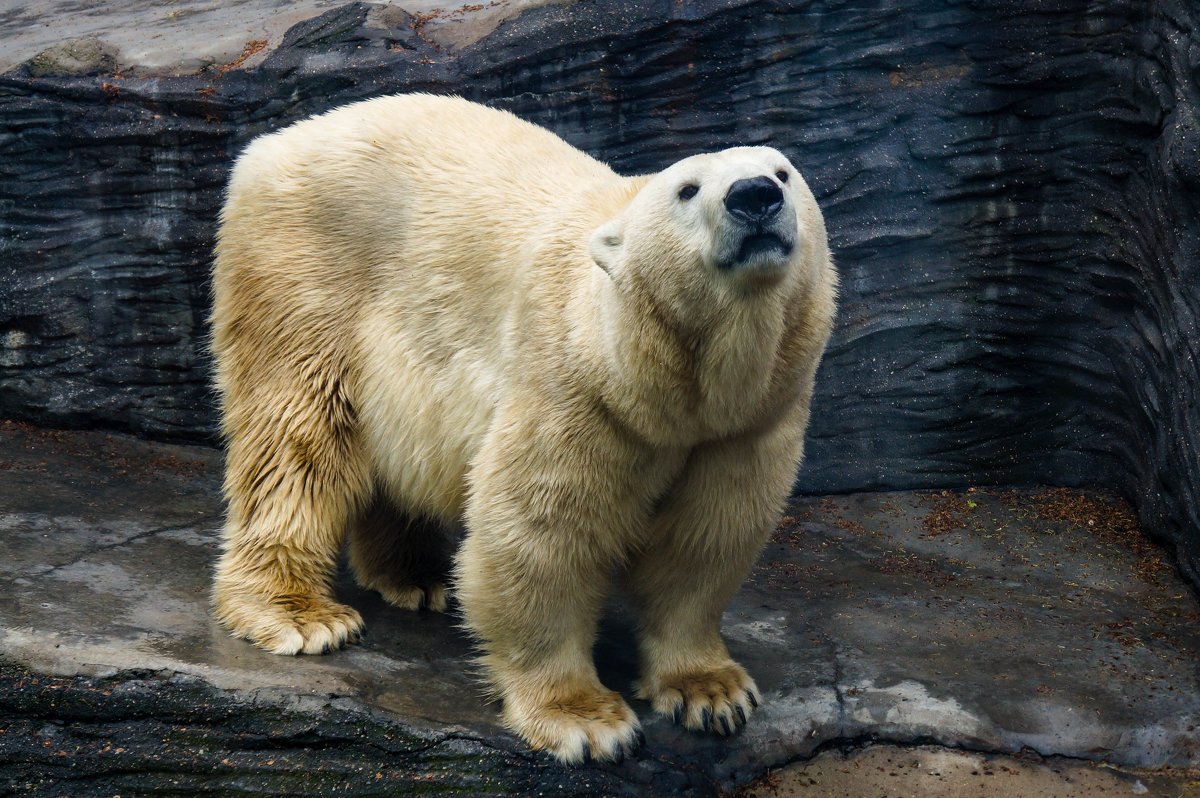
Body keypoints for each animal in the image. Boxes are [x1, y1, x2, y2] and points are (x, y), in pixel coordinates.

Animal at [208, 90, 835, 763]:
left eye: (782, 173)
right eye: (687, 189)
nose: (754, 195)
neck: (664, 385)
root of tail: (273, 143)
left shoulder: (747, 424)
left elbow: (706, 537)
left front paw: (712, 692)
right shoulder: (578, 388)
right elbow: (542, 536)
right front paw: (586, 720)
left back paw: (419, 577)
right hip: (307, 276)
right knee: (296, 435)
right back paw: (301, 615)